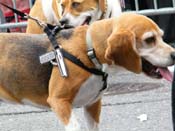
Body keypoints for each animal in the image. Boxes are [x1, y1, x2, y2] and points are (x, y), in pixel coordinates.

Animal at [0, 12, 174, 130]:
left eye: (162, 36)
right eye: (149, 40)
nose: (174, 54)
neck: (89, 50)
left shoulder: (92, 104)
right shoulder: (59, 102)